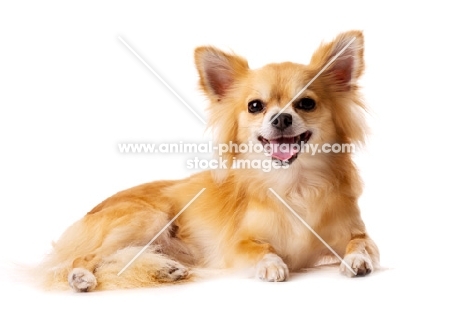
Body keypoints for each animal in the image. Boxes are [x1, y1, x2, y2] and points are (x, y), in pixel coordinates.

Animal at [37, 30, 380, 292]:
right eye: (255, 106)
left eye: (306, 103)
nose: (281, 118)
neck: (295, 183)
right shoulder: (237, 245)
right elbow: (260, 248)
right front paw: (271, 264)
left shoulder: (355, 233)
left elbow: (361, 243)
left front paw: (357, 259)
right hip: (148, 218)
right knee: (87, 257)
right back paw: (81, 276)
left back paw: (165, 270)